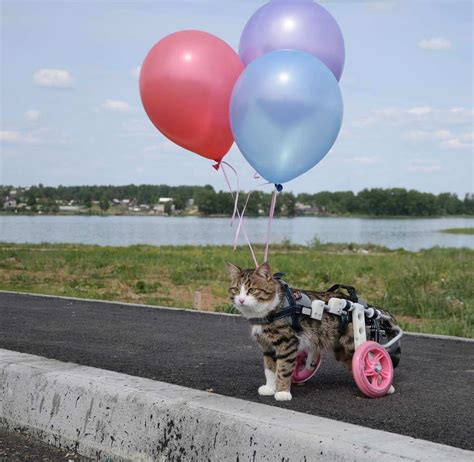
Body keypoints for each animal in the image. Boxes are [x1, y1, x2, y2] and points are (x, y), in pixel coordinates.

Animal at [226, 260, 392, 400]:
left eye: (252, 290)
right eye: (235, 290)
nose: (241, 300)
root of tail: (362, 305)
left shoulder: (287, 342)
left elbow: (283, 367)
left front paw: (282, 392)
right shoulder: (266, 345)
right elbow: (270, 368)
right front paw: (270, 387)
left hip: (353, 342)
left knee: (369, 356)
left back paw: (382, 383)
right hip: (340, 349)